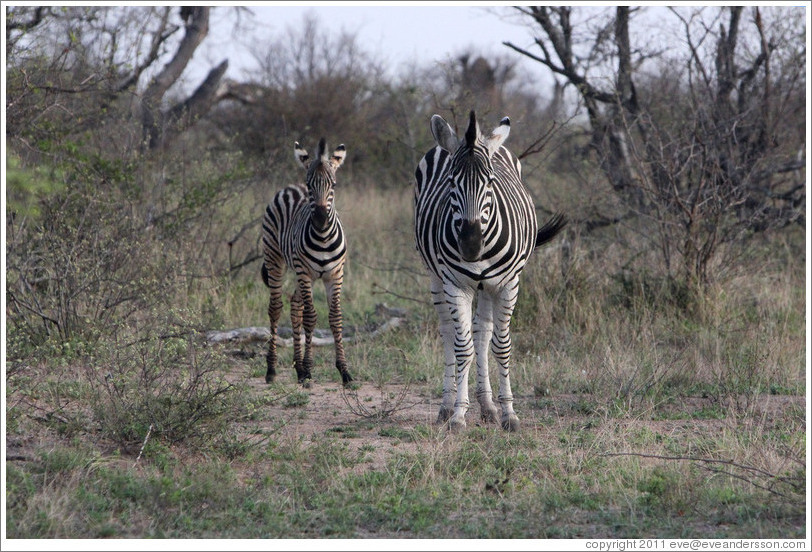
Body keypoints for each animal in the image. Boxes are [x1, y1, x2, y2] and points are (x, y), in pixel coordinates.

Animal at [258, 138, 350, 386]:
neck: (324, 237)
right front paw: (309, 369)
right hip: (276, 259)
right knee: (276, 308)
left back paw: (297, 368)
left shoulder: (335, 275)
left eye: (333, 185)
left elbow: (335, 318)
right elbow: (311, 318)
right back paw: (272, 370)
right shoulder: (306, 272)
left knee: (295, 305)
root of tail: (291, 186)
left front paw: (344, 371)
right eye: (310, 185)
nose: (319, 218)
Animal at [412, 111, 564, 432]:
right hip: (436, 279)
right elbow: (462, 348)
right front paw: (458, 414)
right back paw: (446, 407)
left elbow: (500, 346)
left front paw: (508, 413)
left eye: (491, 181)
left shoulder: (508, 285)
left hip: (487, 287)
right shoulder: (455, 285)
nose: (470, 245)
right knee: (449, 333)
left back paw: (488, 406)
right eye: (450, 181)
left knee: (483, 335)